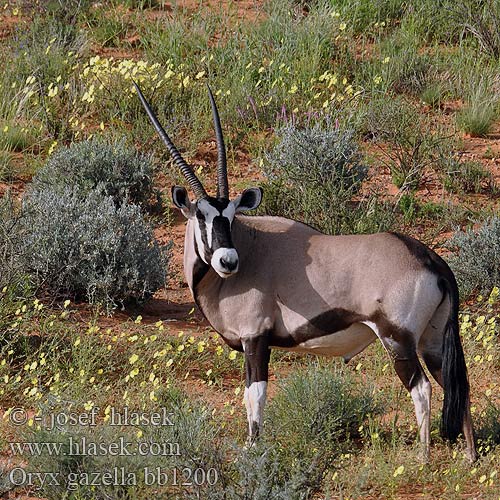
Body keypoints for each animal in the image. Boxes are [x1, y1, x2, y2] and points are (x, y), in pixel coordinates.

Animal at [134, 81, 476, 460]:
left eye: (231, 215)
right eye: (200, 215)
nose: (228, 261)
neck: (253, 243)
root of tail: (430, 259)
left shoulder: (256, 338)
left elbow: (255, 396)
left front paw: (253, 451)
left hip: (397, 339)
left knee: (422, 389)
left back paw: (423, 457)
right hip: (432, 341)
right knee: (457, 385)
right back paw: (470, 457)